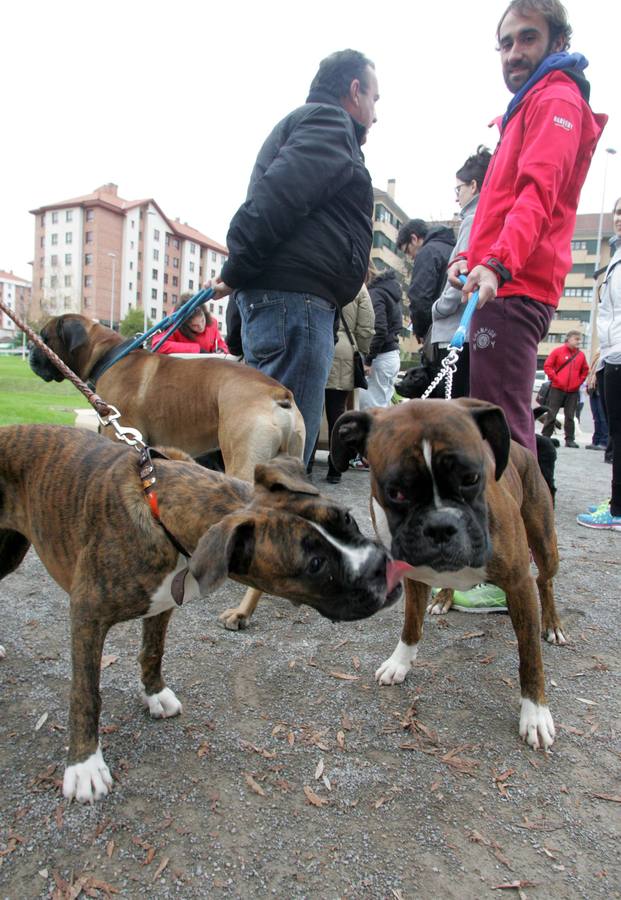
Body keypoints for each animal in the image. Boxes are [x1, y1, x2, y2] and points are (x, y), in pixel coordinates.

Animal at [1, 426, 402, 804]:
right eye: (315, 564)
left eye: (346, 518)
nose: (381, 566)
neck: (161, 511)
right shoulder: (87, 615)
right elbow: (86, 693)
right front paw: (84, 765)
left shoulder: (164, 602)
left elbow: (153, 652)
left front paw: (154, 694)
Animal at [332, 400, 564, 752]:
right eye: (396, 492)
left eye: (471, 478)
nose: (441, 525)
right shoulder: (412, 577)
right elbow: (410, 625)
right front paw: (400, 663)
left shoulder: (518, 583)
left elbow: (530, 657)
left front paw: (535, 714)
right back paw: (444, 598)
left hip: (544, 544)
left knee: (545, 581)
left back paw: (552, 624)